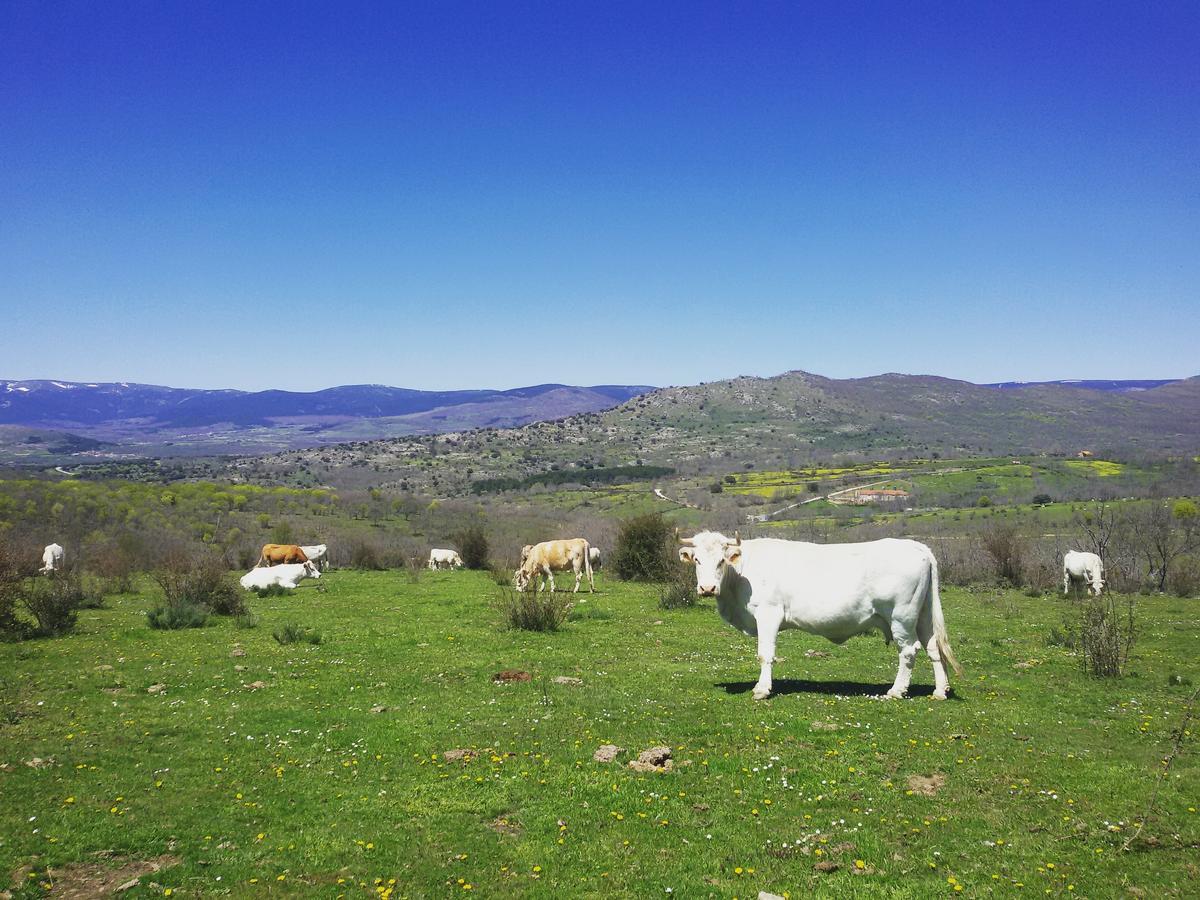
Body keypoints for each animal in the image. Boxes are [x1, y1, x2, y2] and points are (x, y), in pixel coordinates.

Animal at [681, 535, 960, 705]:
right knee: (933, 647)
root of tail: (917, 546)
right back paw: (940, 690)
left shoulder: (769, 613)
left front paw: (762, 689)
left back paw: (896, 691)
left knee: (909, 650)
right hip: (923, 615)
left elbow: (765, 654)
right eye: (697, 560)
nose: (707, 588)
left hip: (901, 616)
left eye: (721, 560)